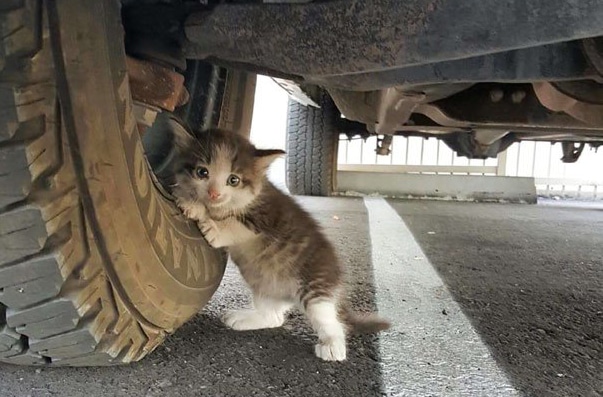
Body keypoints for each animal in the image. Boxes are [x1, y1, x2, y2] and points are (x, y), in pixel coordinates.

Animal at [169, 127, 392, 362]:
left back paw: (333, 345)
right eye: (202, 172)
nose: (214, 193)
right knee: (274, 317)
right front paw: (188, 198)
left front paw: (203, 214)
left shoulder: (265, 219)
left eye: (233, 179)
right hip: (265, 286)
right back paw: (244, 319)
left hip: (315, 286)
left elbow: (231, 222)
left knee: (330, 320)